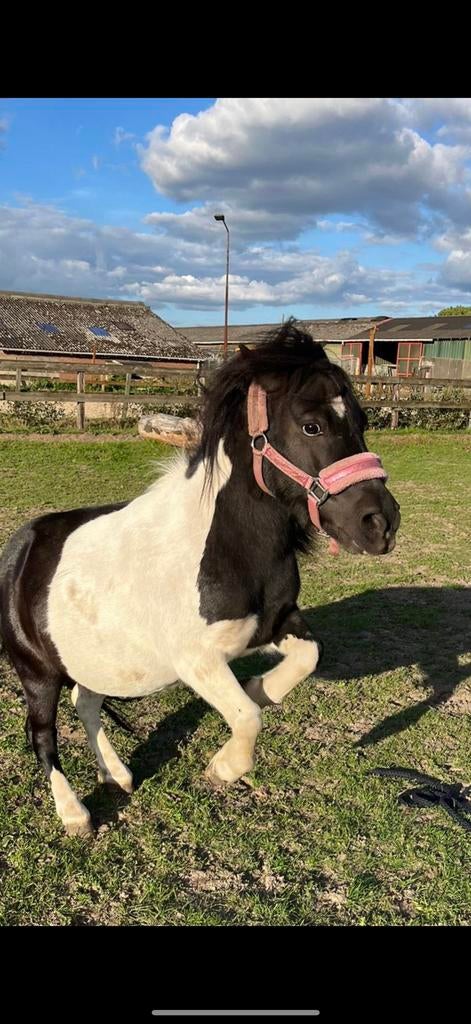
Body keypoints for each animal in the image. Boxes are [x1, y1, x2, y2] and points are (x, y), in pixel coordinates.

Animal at [0, 322, 400, 836]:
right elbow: (248, 717)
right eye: (312, 425)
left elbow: (307, 658)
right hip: (38, 673)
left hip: (95, 661)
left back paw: (118, 775)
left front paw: (261, 687)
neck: (223, 549)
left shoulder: (277, 624)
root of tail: (19, 550)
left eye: (362, 421)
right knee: (43, 734)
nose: (381, 524)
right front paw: (223, 768)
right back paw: (74, 814)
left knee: (84, 703)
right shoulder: (197, 661)